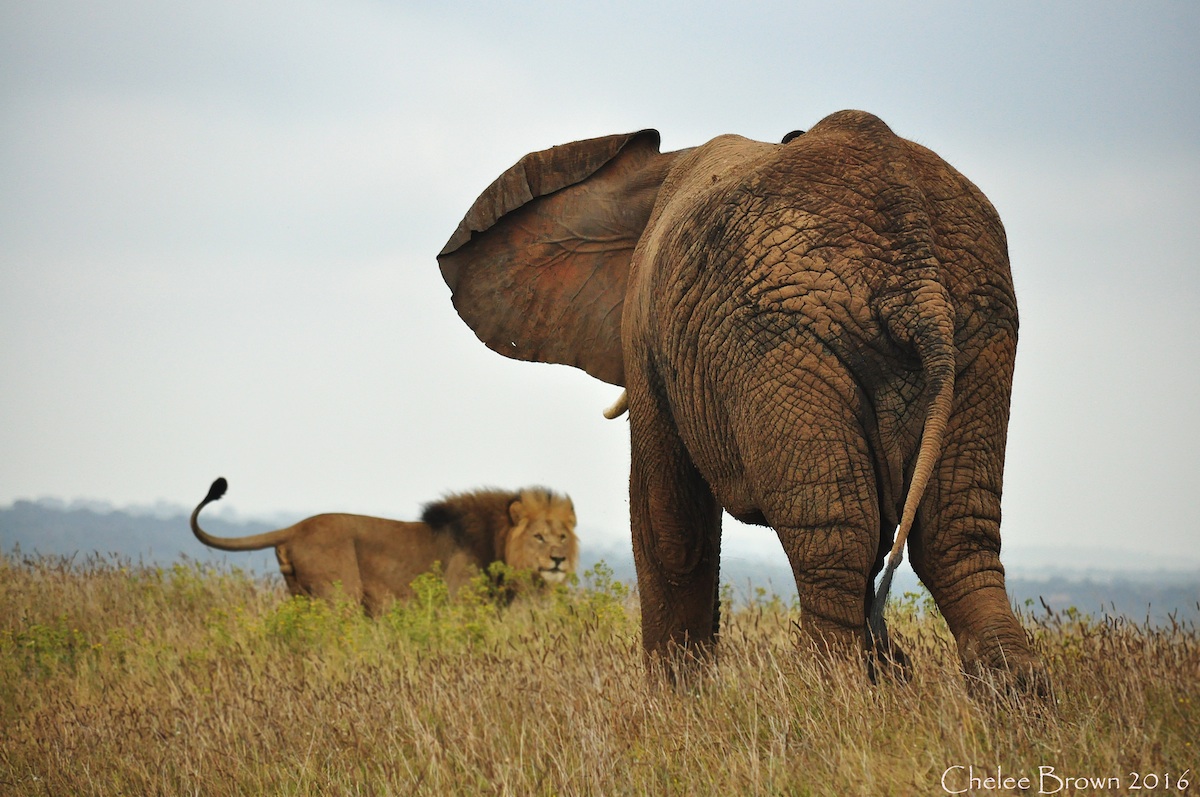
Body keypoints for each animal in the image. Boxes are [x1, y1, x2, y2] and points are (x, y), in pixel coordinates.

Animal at [188, 475, 580, 612]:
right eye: (538, 537)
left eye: (562, 537)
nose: (558, 559)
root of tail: (295, 528)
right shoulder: (458, 604)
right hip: (339, 596)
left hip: (300, 594)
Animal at [436, 109, 1046, 696]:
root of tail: (917, 274)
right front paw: (891, 672)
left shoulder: (647, 329)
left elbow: (668, 518)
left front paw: (678, 701)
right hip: (979, 325)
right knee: (955, 529)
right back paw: (1010, 696)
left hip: (784, 339)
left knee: (836, 531)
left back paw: (828, 694)